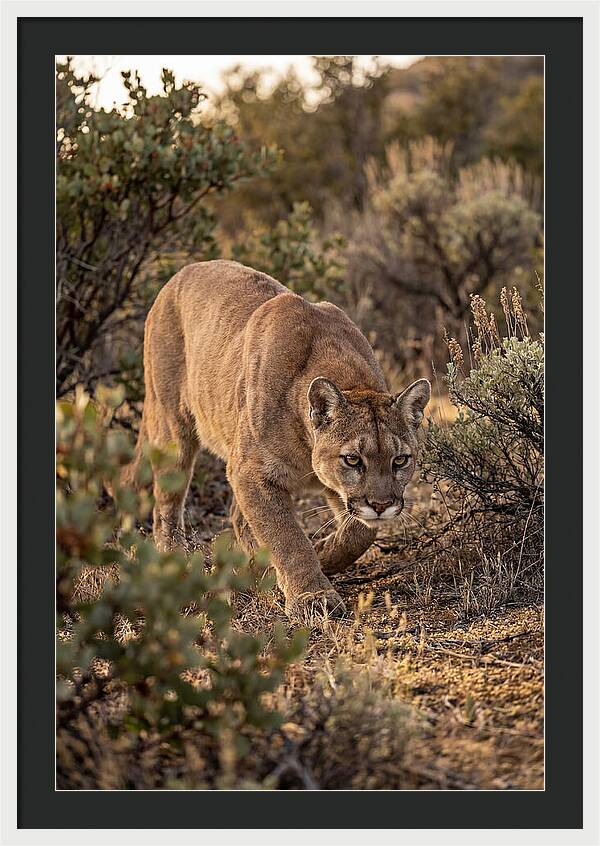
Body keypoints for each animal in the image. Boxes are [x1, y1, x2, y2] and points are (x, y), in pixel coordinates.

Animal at [124, 260, 430, 619]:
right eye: (353, 459)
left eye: (400, 460)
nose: (381, 505)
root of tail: (182, 272)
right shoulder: (253, 472)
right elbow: (286, 536)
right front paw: (313, 596)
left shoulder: (328, 487)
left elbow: (360, 531)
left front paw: (324, 553)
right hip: (174, 428)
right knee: (167, 504)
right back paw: (176, 559)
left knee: (236, 515)